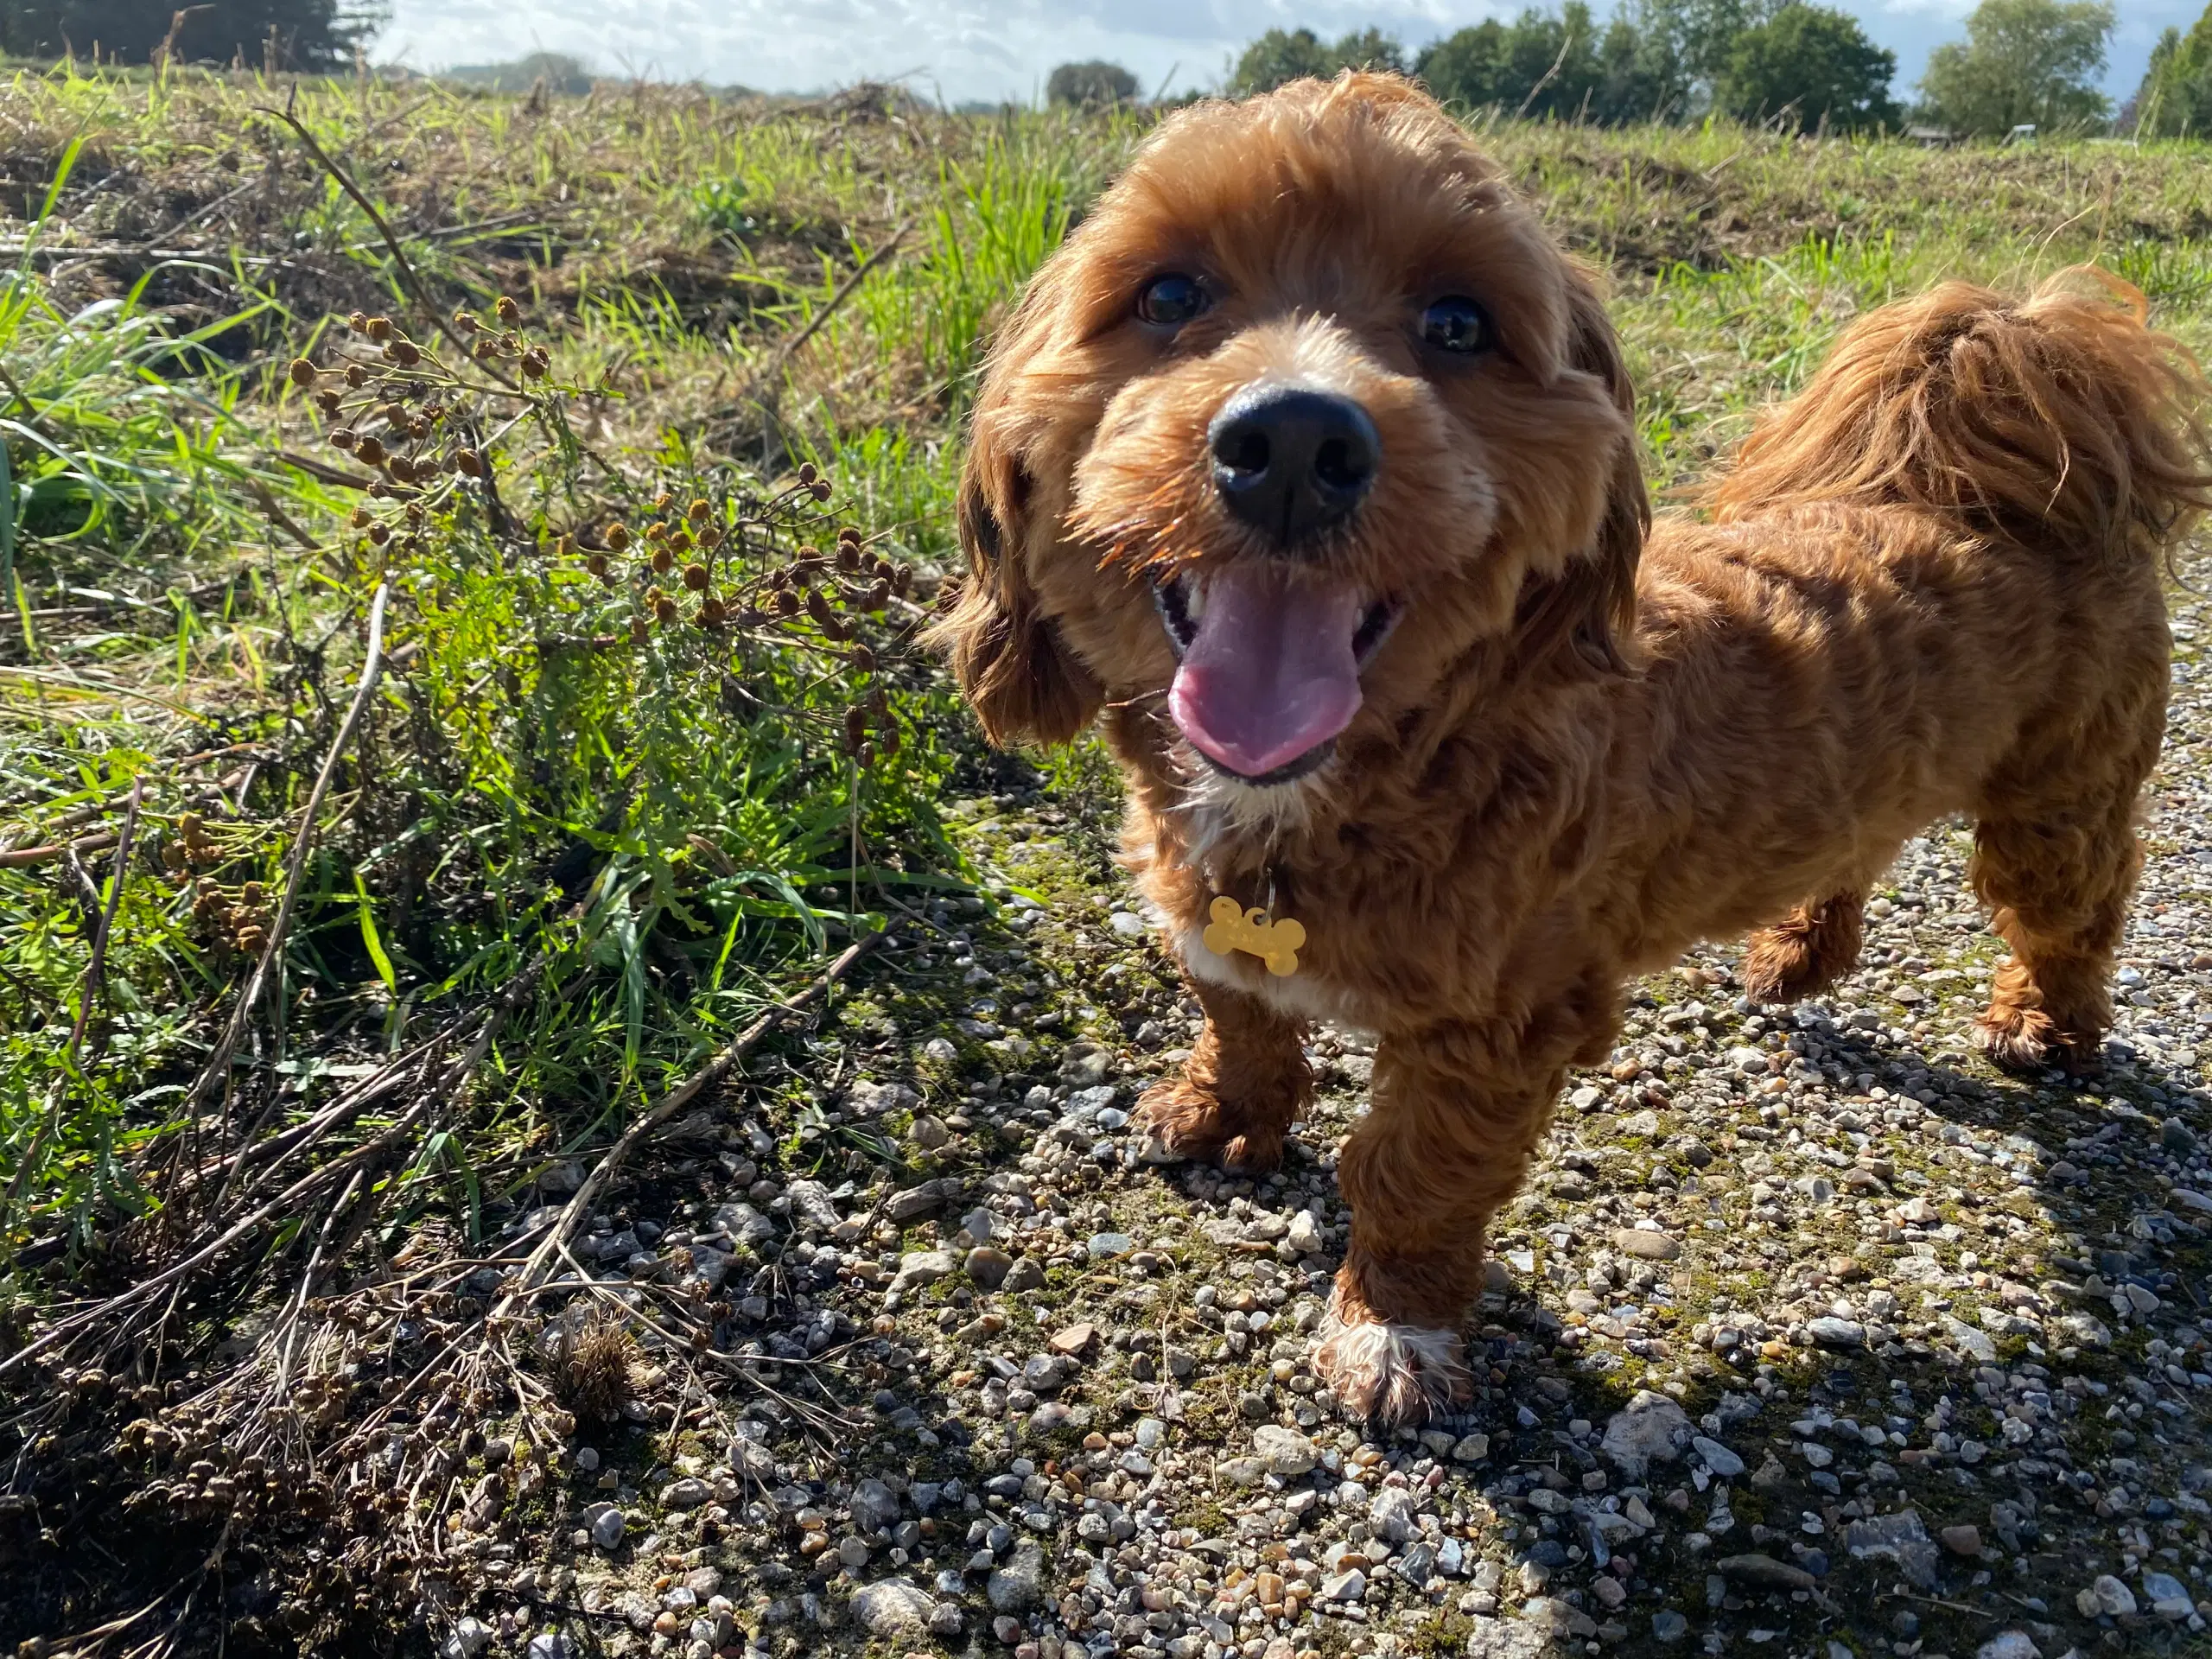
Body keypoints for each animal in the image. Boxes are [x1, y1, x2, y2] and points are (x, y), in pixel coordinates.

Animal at [925, 74, 2212, 1433]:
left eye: (1457, 321)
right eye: (1168, 294)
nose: (1294, 443)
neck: (1342, 783)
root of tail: (2014, 464)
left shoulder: (1495, 1026)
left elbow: (1415, 1177)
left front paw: (1393, 1327)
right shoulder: (1212, 919)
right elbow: (1244, 1020)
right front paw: (1228, 1109)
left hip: (2058, 799)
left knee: (2074, 914)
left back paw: (2044, 1023)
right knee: (1856, 851)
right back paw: (1800, 948)